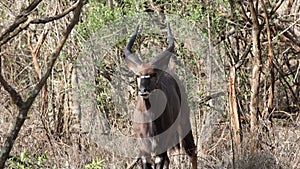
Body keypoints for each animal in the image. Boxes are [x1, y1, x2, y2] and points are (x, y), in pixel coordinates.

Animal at [124, 22, 197, 169]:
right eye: (138, 75)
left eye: (153, 74)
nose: (143, 90)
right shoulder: (144, 150)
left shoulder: (160, 149)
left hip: (184, 124)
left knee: (191, 150)